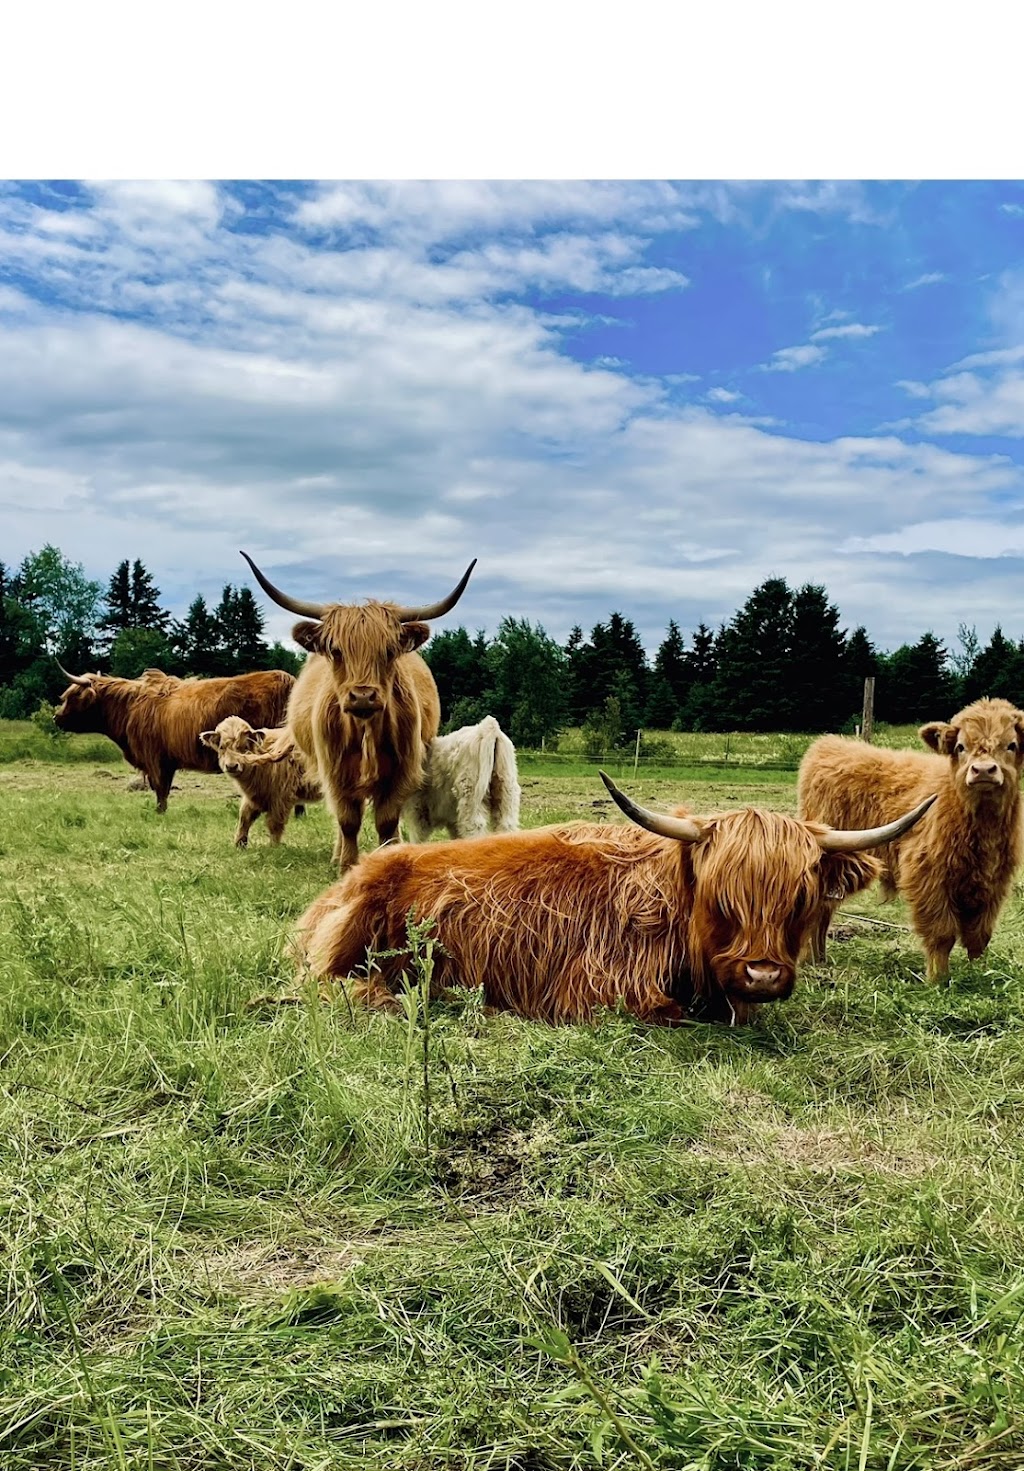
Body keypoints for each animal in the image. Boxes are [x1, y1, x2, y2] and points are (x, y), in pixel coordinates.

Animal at [52, 664, 294, 811]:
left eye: (73, 696)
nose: (56, 717)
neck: (129, 708)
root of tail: (286, 679)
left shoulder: (155, 759)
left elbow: (161, 790)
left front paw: (160, 813)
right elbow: (163, 789)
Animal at [201, 714, 323, 847]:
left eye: (244, 747)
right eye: (222, 747)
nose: (232, 766)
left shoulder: (282, 797)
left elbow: (274, 824)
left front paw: (273, 847)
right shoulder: (254, 797)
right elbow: (244, 818)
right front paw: (239, 844)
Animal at [239, 553, 476, 870]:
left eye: (389, 651)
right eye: (336, 650)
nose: (363, 695)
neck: (366, 731)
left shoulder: (402, 771)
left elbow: (387, 822)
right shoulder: (335, 771)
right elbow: (347, 821)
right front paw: (346, 865)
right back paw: (336, 855)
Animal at [400, 717, 520, 847]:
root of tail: (488, 726)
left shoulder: (418, 810)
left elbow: (417, 838)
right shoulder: (451, 820)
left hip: (470, 796)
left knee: (475, 828)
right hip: (506, 793)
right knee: (506, 826)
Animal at [800, 697, 1024, 976]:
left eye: (1011, 745)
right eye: (961, 746)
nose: (983, 771)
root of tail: (828, 745)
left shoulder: (992, 885)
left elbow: (978, 937)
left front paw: (977, 974)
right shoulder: (928, 878)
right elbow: (942, 935)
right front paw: (939, 979)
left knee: (824, 912)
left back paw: (819, 960)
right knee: (817, 911)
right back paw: (810, 961)